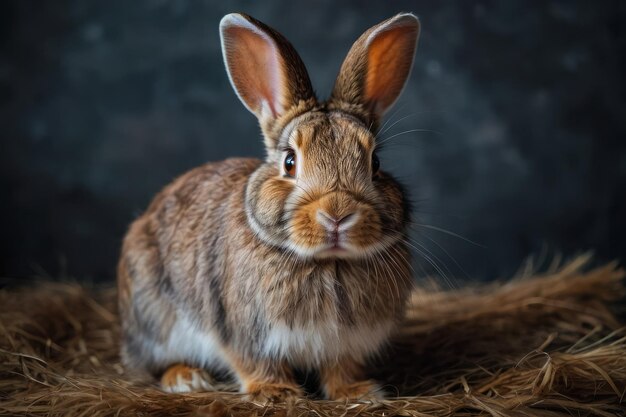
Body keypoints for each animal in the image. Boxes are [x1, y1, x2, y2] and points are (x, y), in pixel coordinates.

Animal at [117, 10, 420, 400]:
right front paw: (276, 392)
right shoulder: (242, 332)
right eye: (289, 162)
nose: (337, 215)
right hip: (155, 318)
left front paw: (359, 392)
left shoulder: (345, 344)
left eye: (376, 163)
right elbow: (254, 362)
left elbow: (340, 368)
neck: (328, 262)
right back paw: (188, 378)